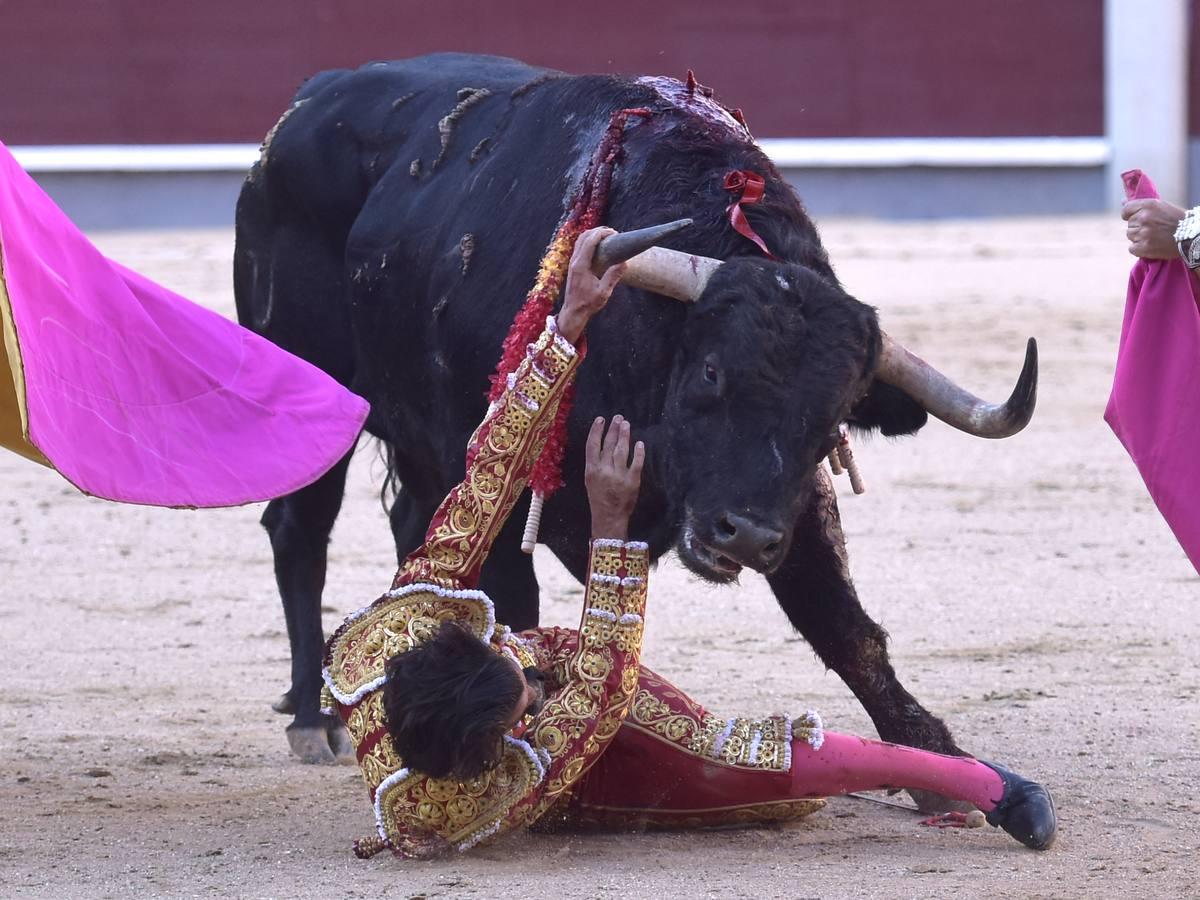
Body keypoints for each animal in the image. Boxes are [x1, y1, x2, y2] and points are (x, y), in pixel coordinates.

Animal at [231, 52, 1032, 801]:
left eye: (836, 413)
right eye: (710, 373)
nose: (743, 537)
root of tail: (309, 102)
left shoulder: (790, 501)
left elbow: (843, 626)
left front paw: (938, 763)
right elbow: (519, 603)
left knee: (409, 520)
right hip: (313, 393)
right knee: (301, 528)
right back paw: (313, 720)